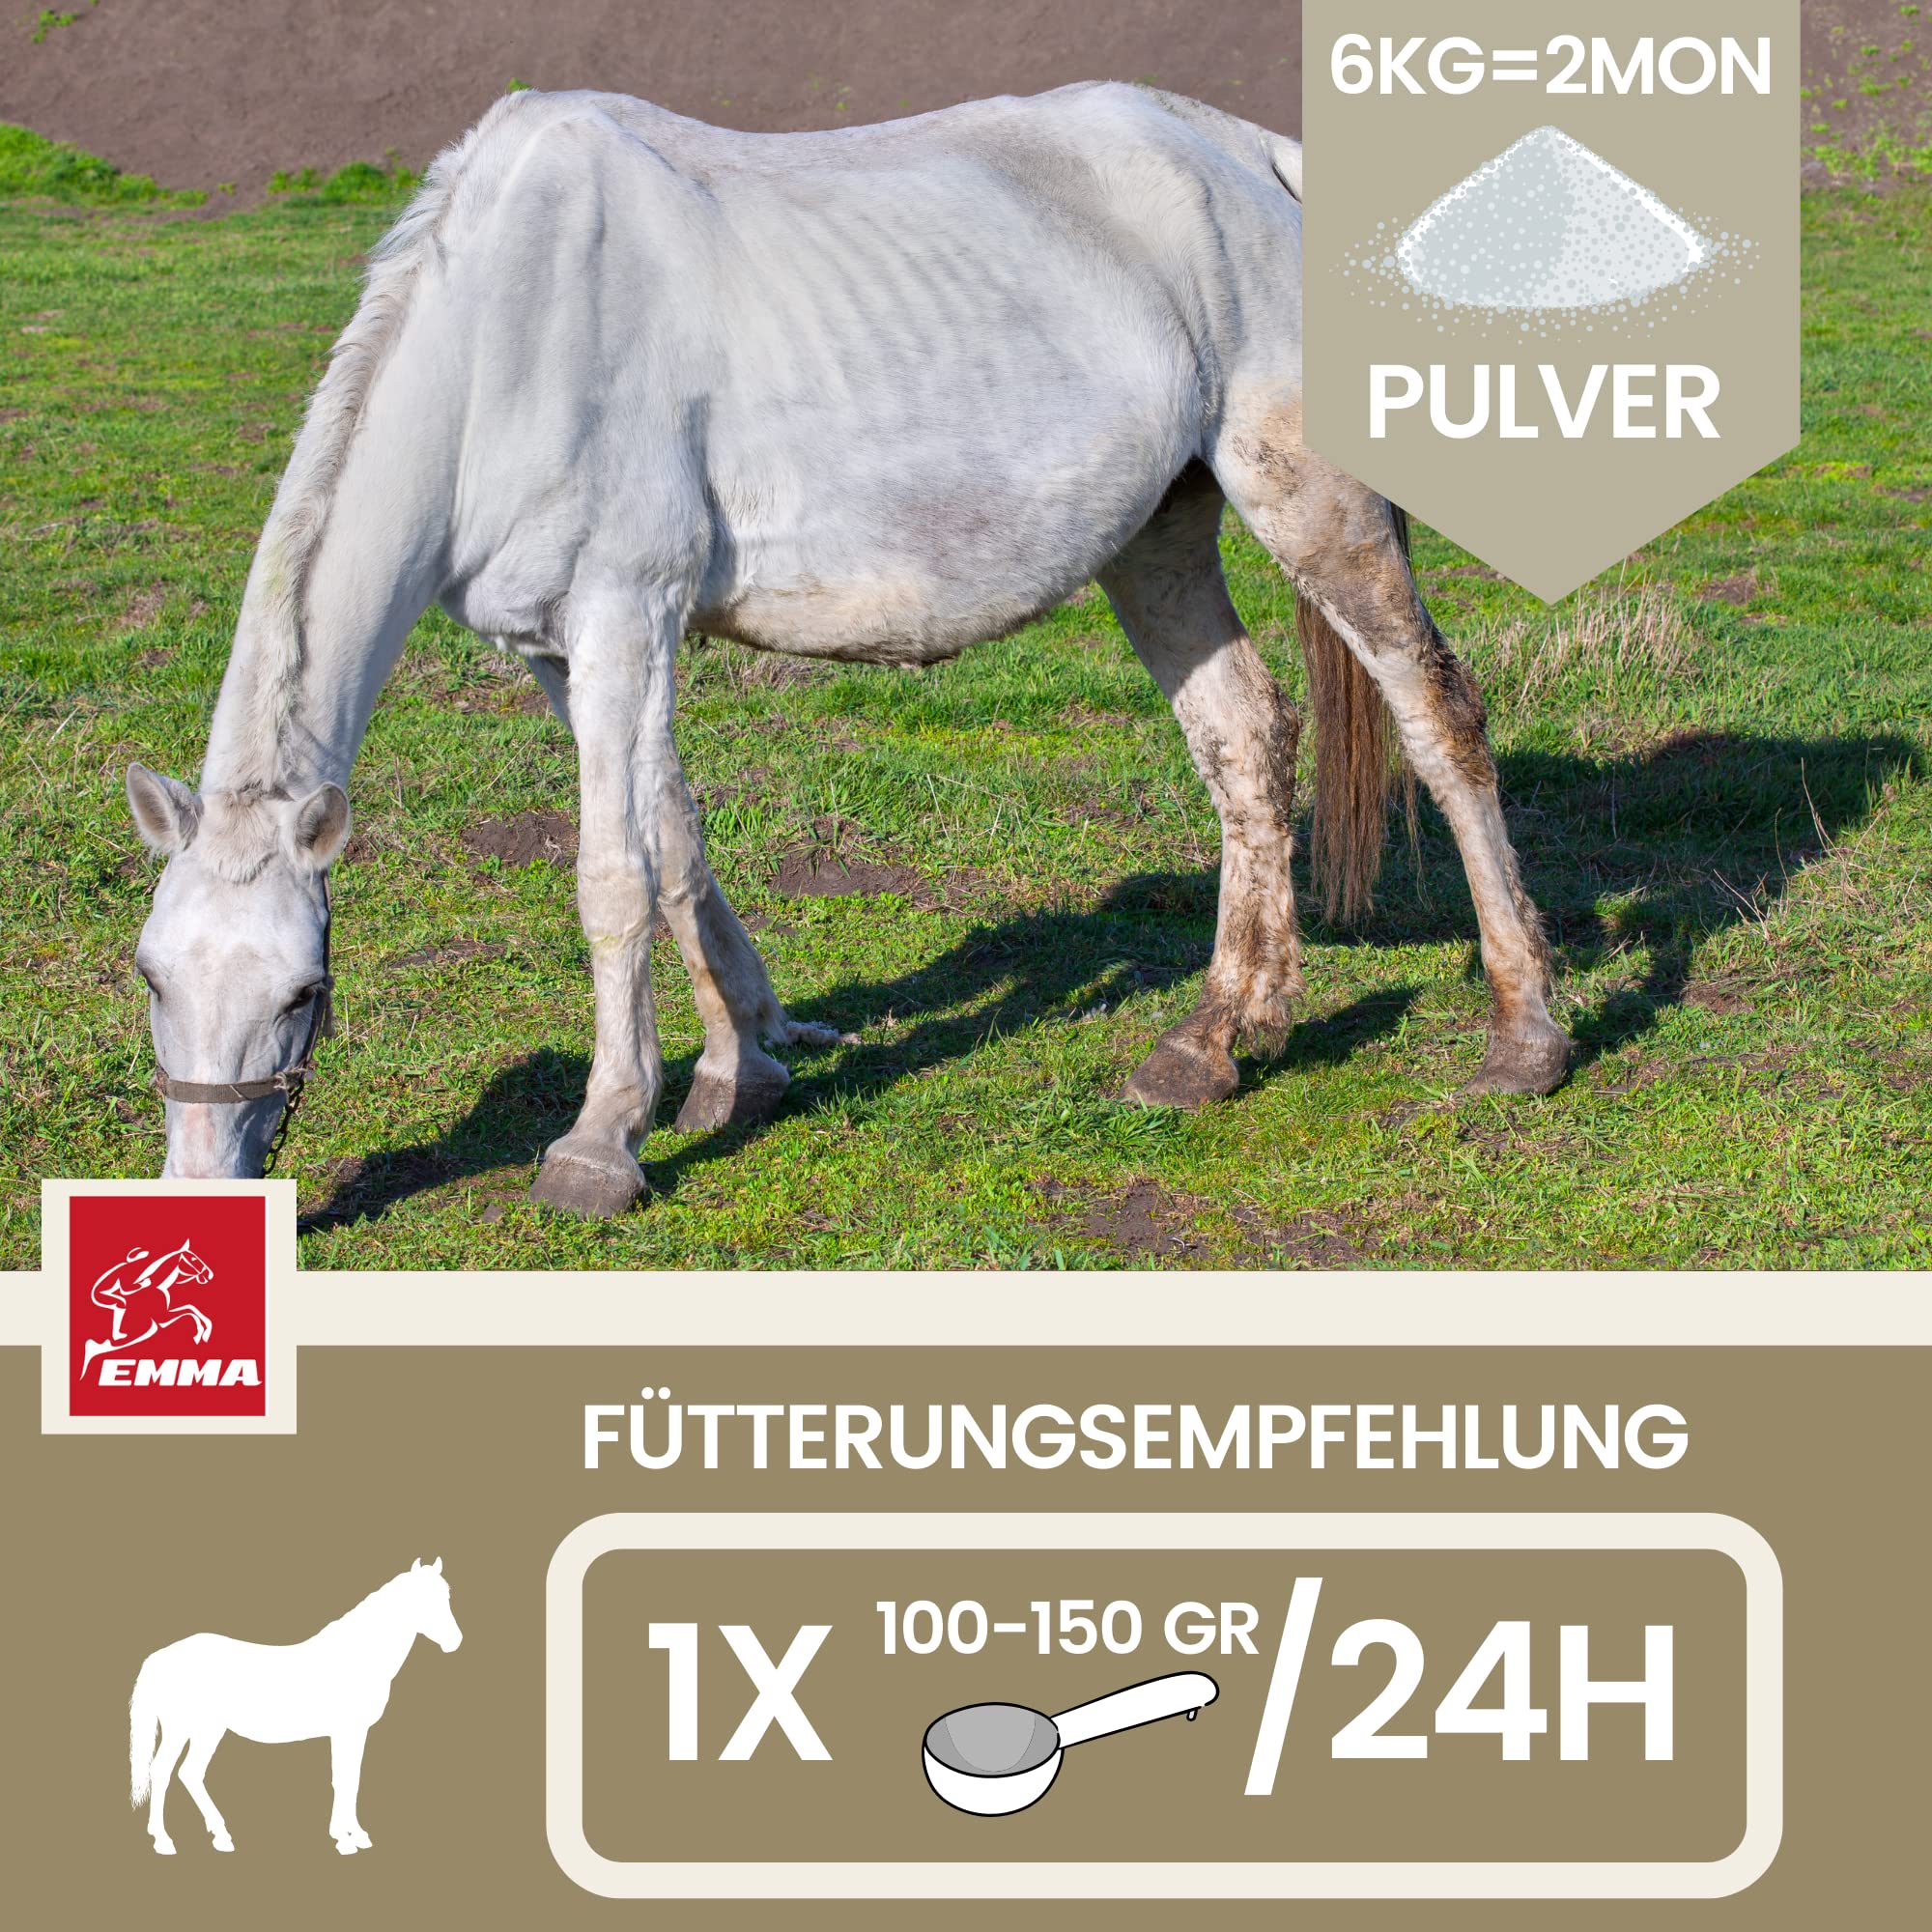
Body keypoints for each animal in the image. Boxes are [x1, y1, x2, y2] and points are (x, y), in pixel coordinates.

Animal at [124, 83, 1570, 1213]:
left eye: (302, 992)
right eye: (149, 976)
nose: (201, 1187)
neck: (510, 334)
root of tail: (1255, 156)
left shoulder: (623, 616)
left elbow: (609, 877)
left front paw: (600, 1142)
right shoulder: (567, 649)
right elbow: (674, 845)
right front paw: (736, 1068)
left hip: (1311, 506)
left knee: (1438, 719)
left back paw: (1525, 1037)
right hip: (1157, 537)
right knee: (1244, 740)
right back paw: (1217, 1040)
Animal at [129, 1556, 462, 1856]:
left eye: (446, 1597)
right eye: (422, 1599)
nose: (455, 1641)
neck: (356, 1657)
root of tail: (160, 1657)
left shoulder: (356, 1733)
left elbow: (351, 1780)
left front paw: (355, 1835)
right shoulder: (345, 1731)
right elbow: (342, 1779)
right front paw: (344, 1840)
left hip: (207, 1730)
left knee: (190, 1773)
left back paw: (221, 1836)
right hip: (182, 1729)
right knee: (163, 1771)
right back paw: (164, 1841)